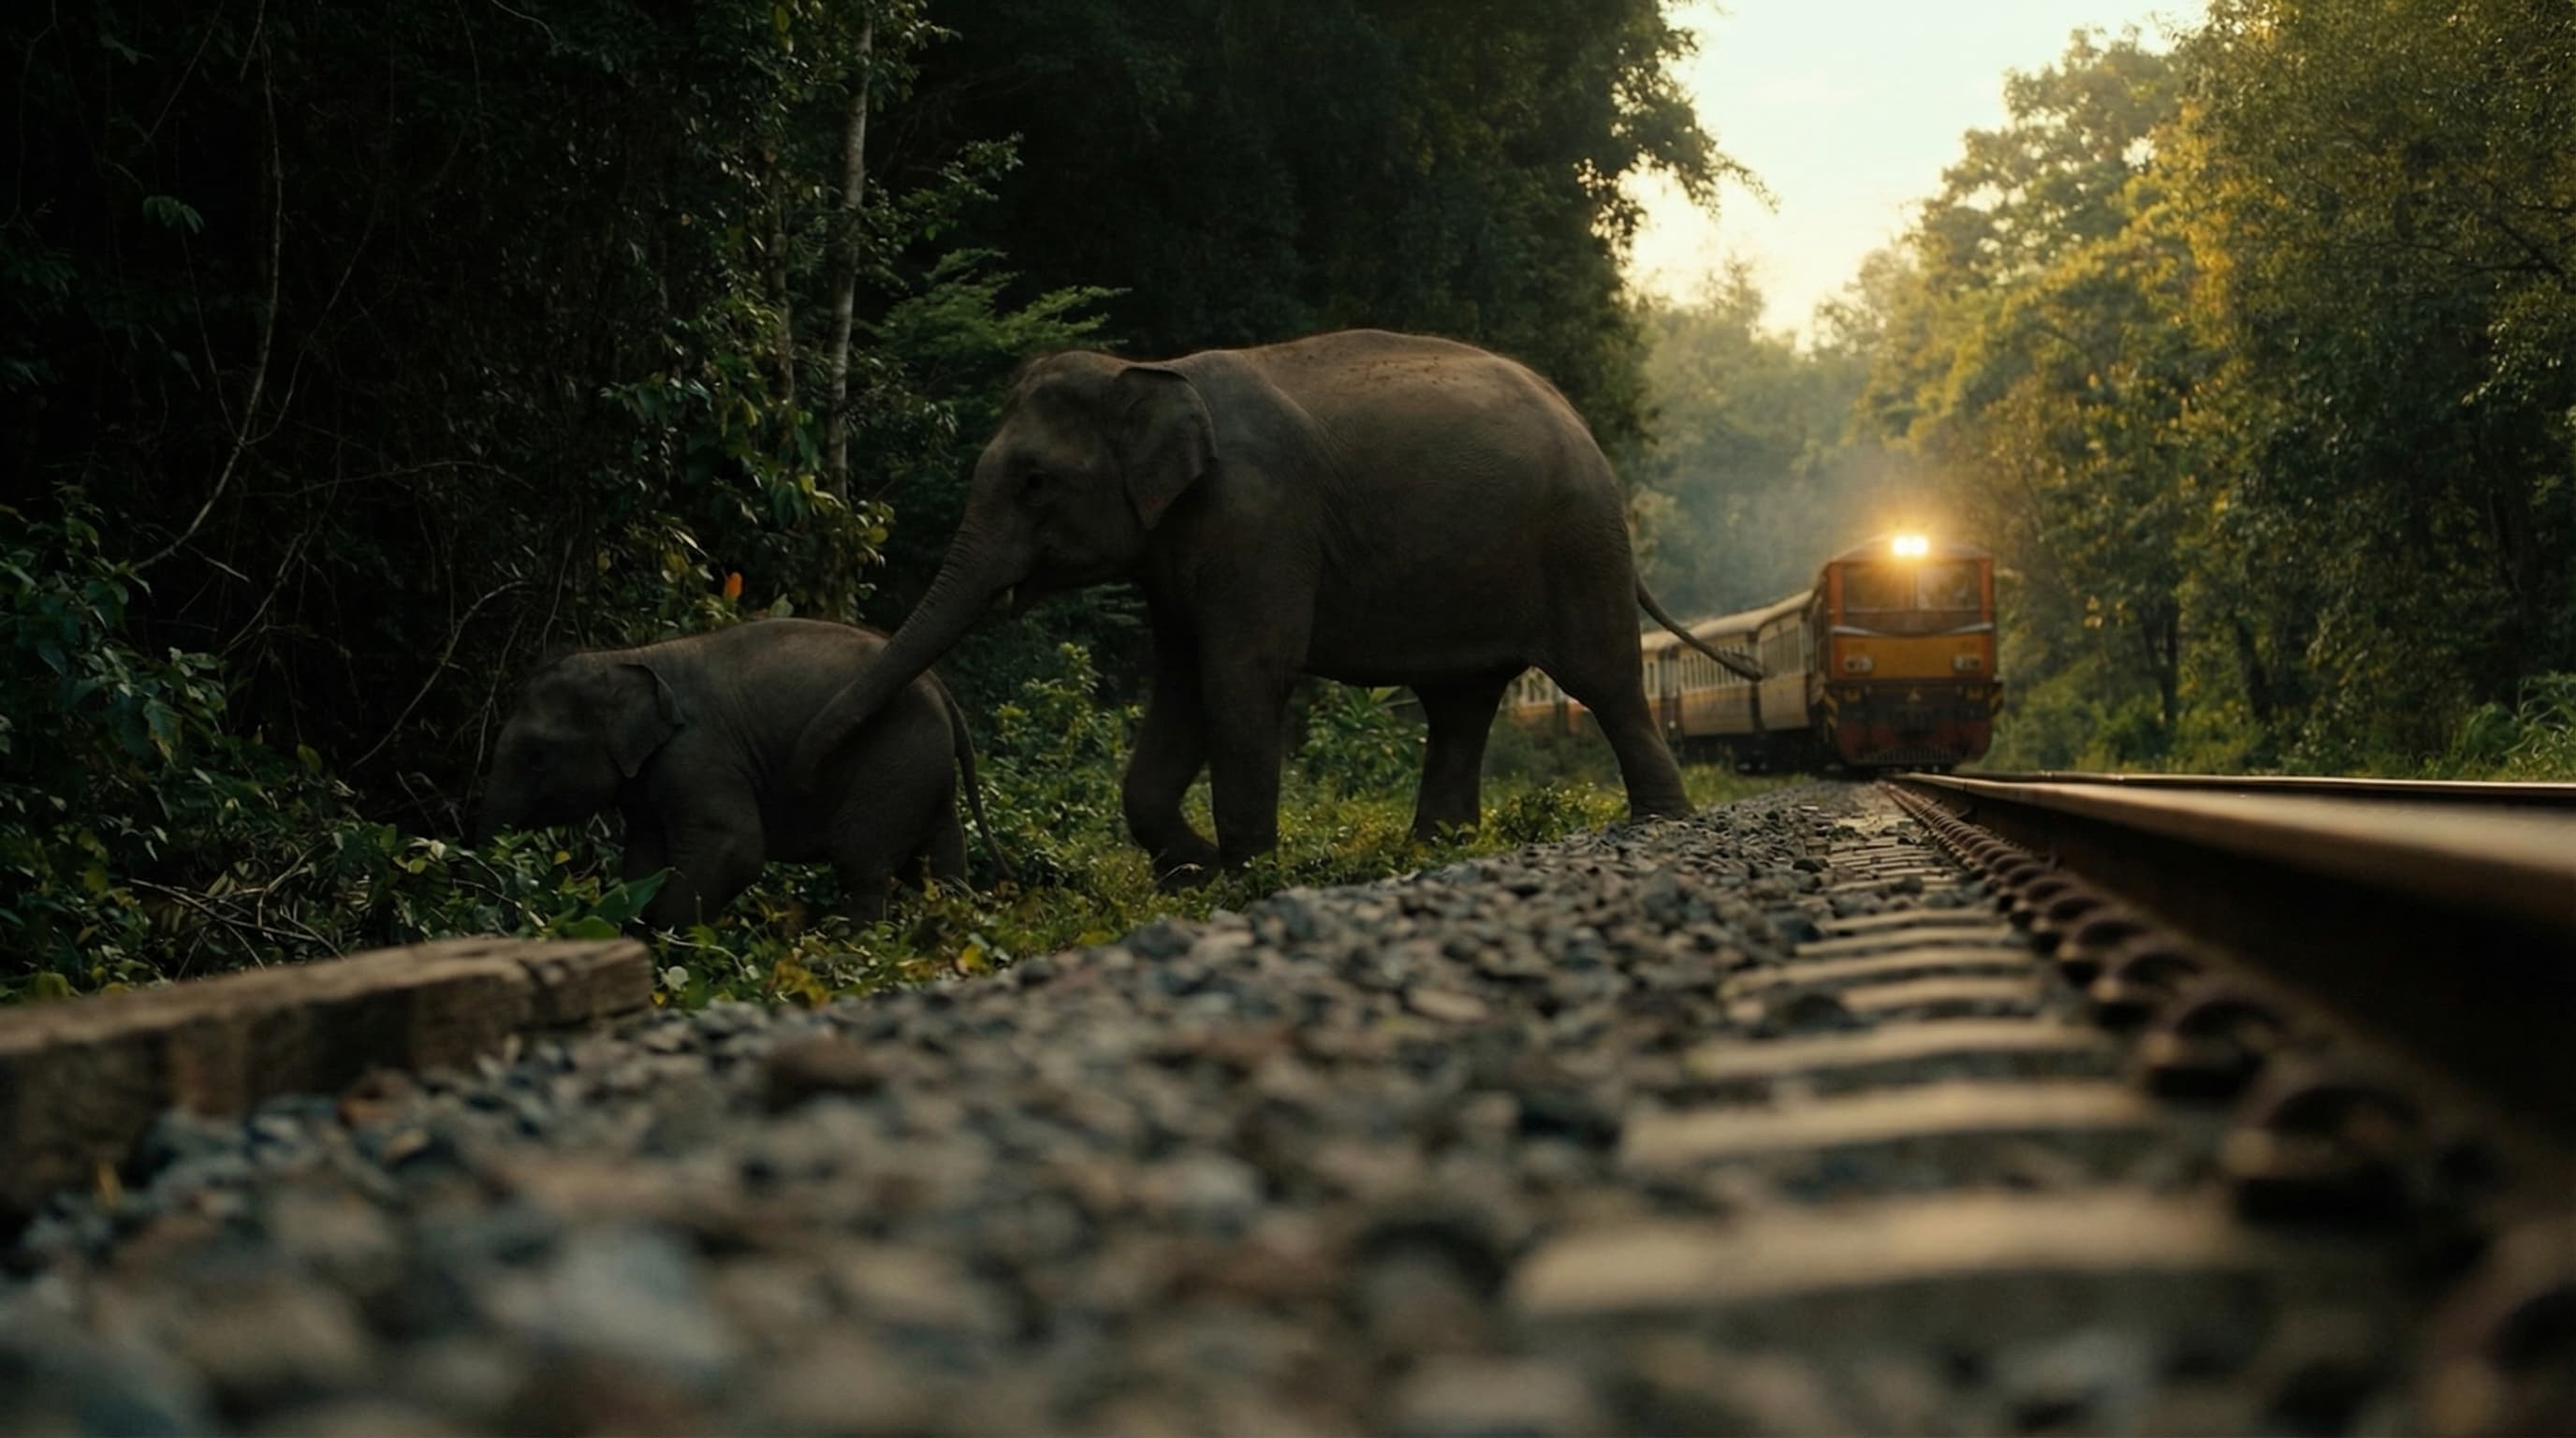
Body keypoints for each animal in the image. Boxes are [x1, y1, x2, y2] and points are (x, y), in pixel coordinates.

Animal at [478, 618, 1009, 929]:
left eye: (537, 756)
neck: (629, 657)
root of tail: (943, 692)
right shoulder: (648, 778)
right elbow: (644, 858)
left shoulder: (698, 754)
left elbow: (735, 848)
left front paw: (667, 946)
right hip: (922, 771)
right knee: (939, 864)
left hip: (893, 762)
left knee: (861, 864)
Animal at [787, 328, 1761, 884]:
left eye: (1032, 481)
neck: (1148, 370)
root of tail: (1579, 422)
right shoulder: (1181, 551)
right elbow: (1181, 687)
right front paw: (1196, 872)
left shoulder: (1256, 520)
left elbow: (1242, 678)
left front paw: (1248, 874)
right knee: (1460, 704)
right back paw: (1432, 849)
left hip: (1579, 543)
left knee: (1602, 679)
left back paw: (1659, 821)